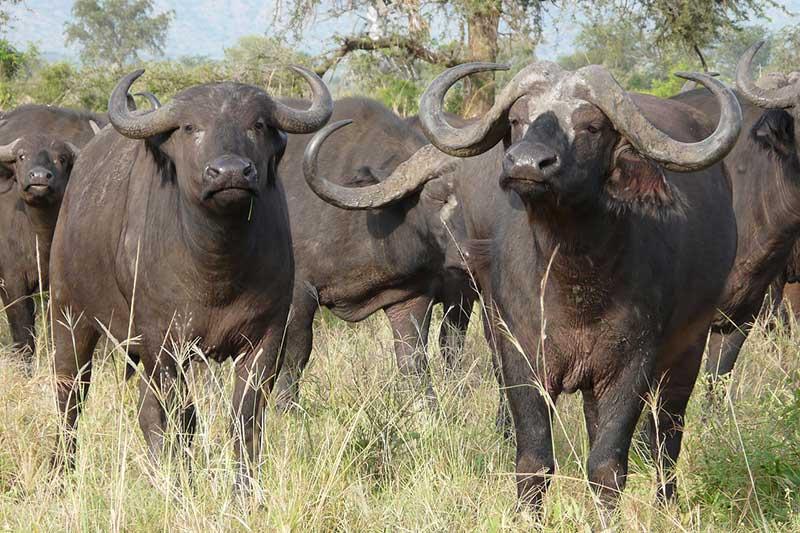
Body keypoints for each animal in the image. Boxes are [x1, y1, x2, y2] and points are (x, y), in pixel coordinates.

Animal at [0, 103, 106, 366]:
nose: (39, 177)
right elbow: (23, 335)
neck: (37, 236)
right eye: (22, 156)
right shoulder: (11, 283)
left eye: (61, 158)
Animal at [50, 67, 332, 490]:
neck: (216, 268)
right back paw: (61, 473)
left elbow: (245, 417)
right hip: (69, 318)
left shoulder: (265, 338)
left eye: (258, 124)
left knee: (145, 411)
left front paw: (244, 488)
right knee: (70, 398)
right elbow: (184, 418)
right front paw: (185, 481)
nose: (230, 172)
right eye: (190, 127)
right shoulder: (165, 344)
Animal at [406, 60, 744, 510]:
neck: (573, 285)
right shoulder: (521, 359)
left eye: (591, 126)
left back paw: (666, 502)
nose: (527, 164)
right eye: (518, 119)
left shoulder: (631, 366)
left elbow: (607, 466)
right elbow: (534, 461)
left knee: (667, 435)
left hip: (689, 348)